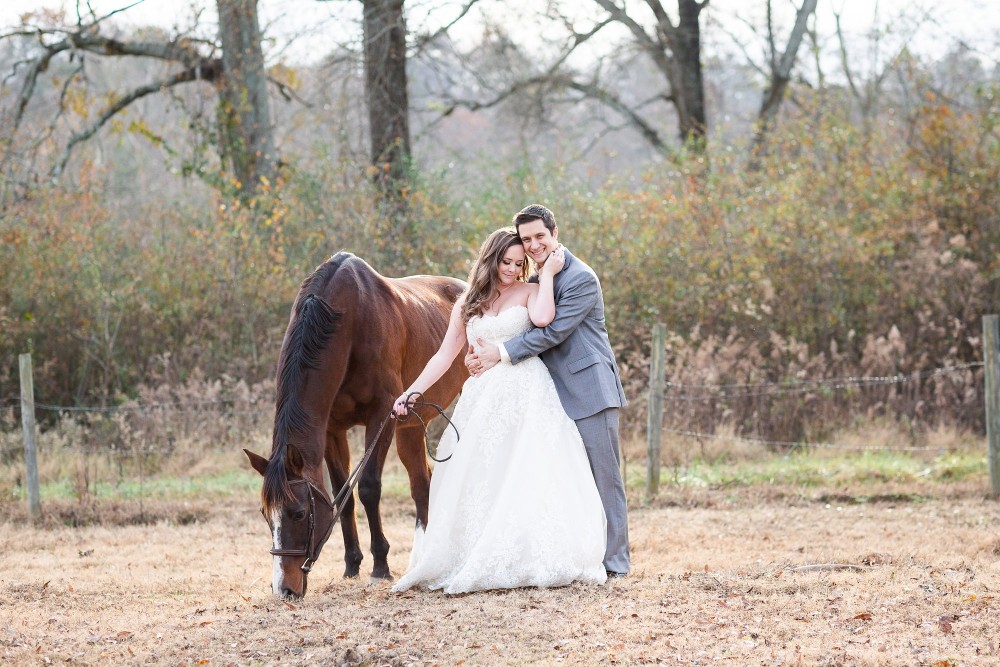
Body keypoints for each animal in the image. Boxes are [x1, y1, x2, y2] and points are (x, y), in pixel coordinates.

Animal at [244, 251, 468, 598]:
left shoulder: (382, 415)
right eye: (266, 515)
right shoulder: (332, 429)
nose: (284, 590)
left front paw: (380, 566)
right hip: (410, 427)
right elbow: (342, 495)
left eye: (299, 513)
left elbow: (368, 488)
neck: (347, 321)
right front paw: (352, 565)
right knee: (421, 485)